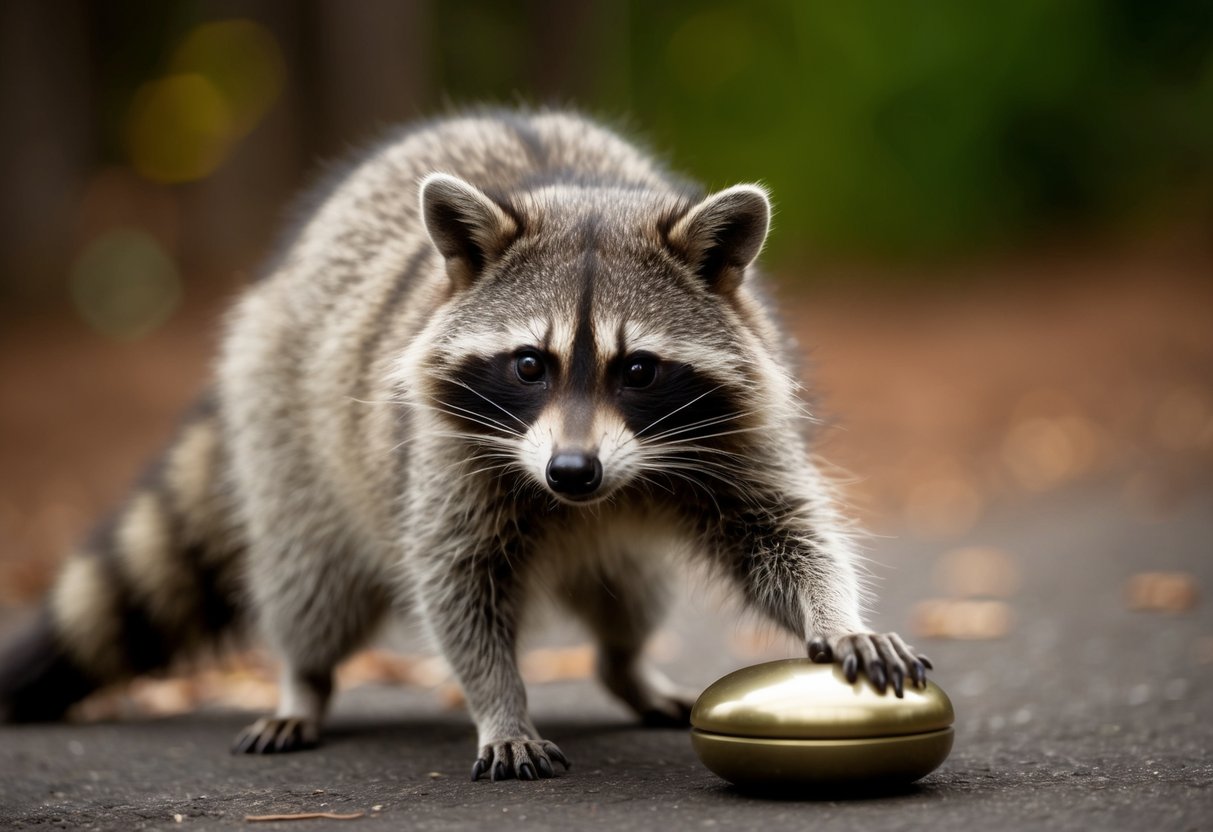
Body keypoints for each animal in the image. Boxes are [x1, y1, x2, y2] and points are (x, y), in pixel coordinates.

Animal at [0, 110, 930, 781]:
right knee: (311, 580)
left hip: (614, 546)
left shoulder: (737, 425)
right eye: (528, 363)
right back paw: (304, 677)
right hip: (286, 420)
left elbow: (782, 533)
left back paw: (626, 665)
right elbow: (456, 586)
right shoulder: (447, 449)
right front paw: (500, 702)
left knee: (629, 600)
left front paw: (837, 615)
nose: (571, 471)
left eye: (637, 369)